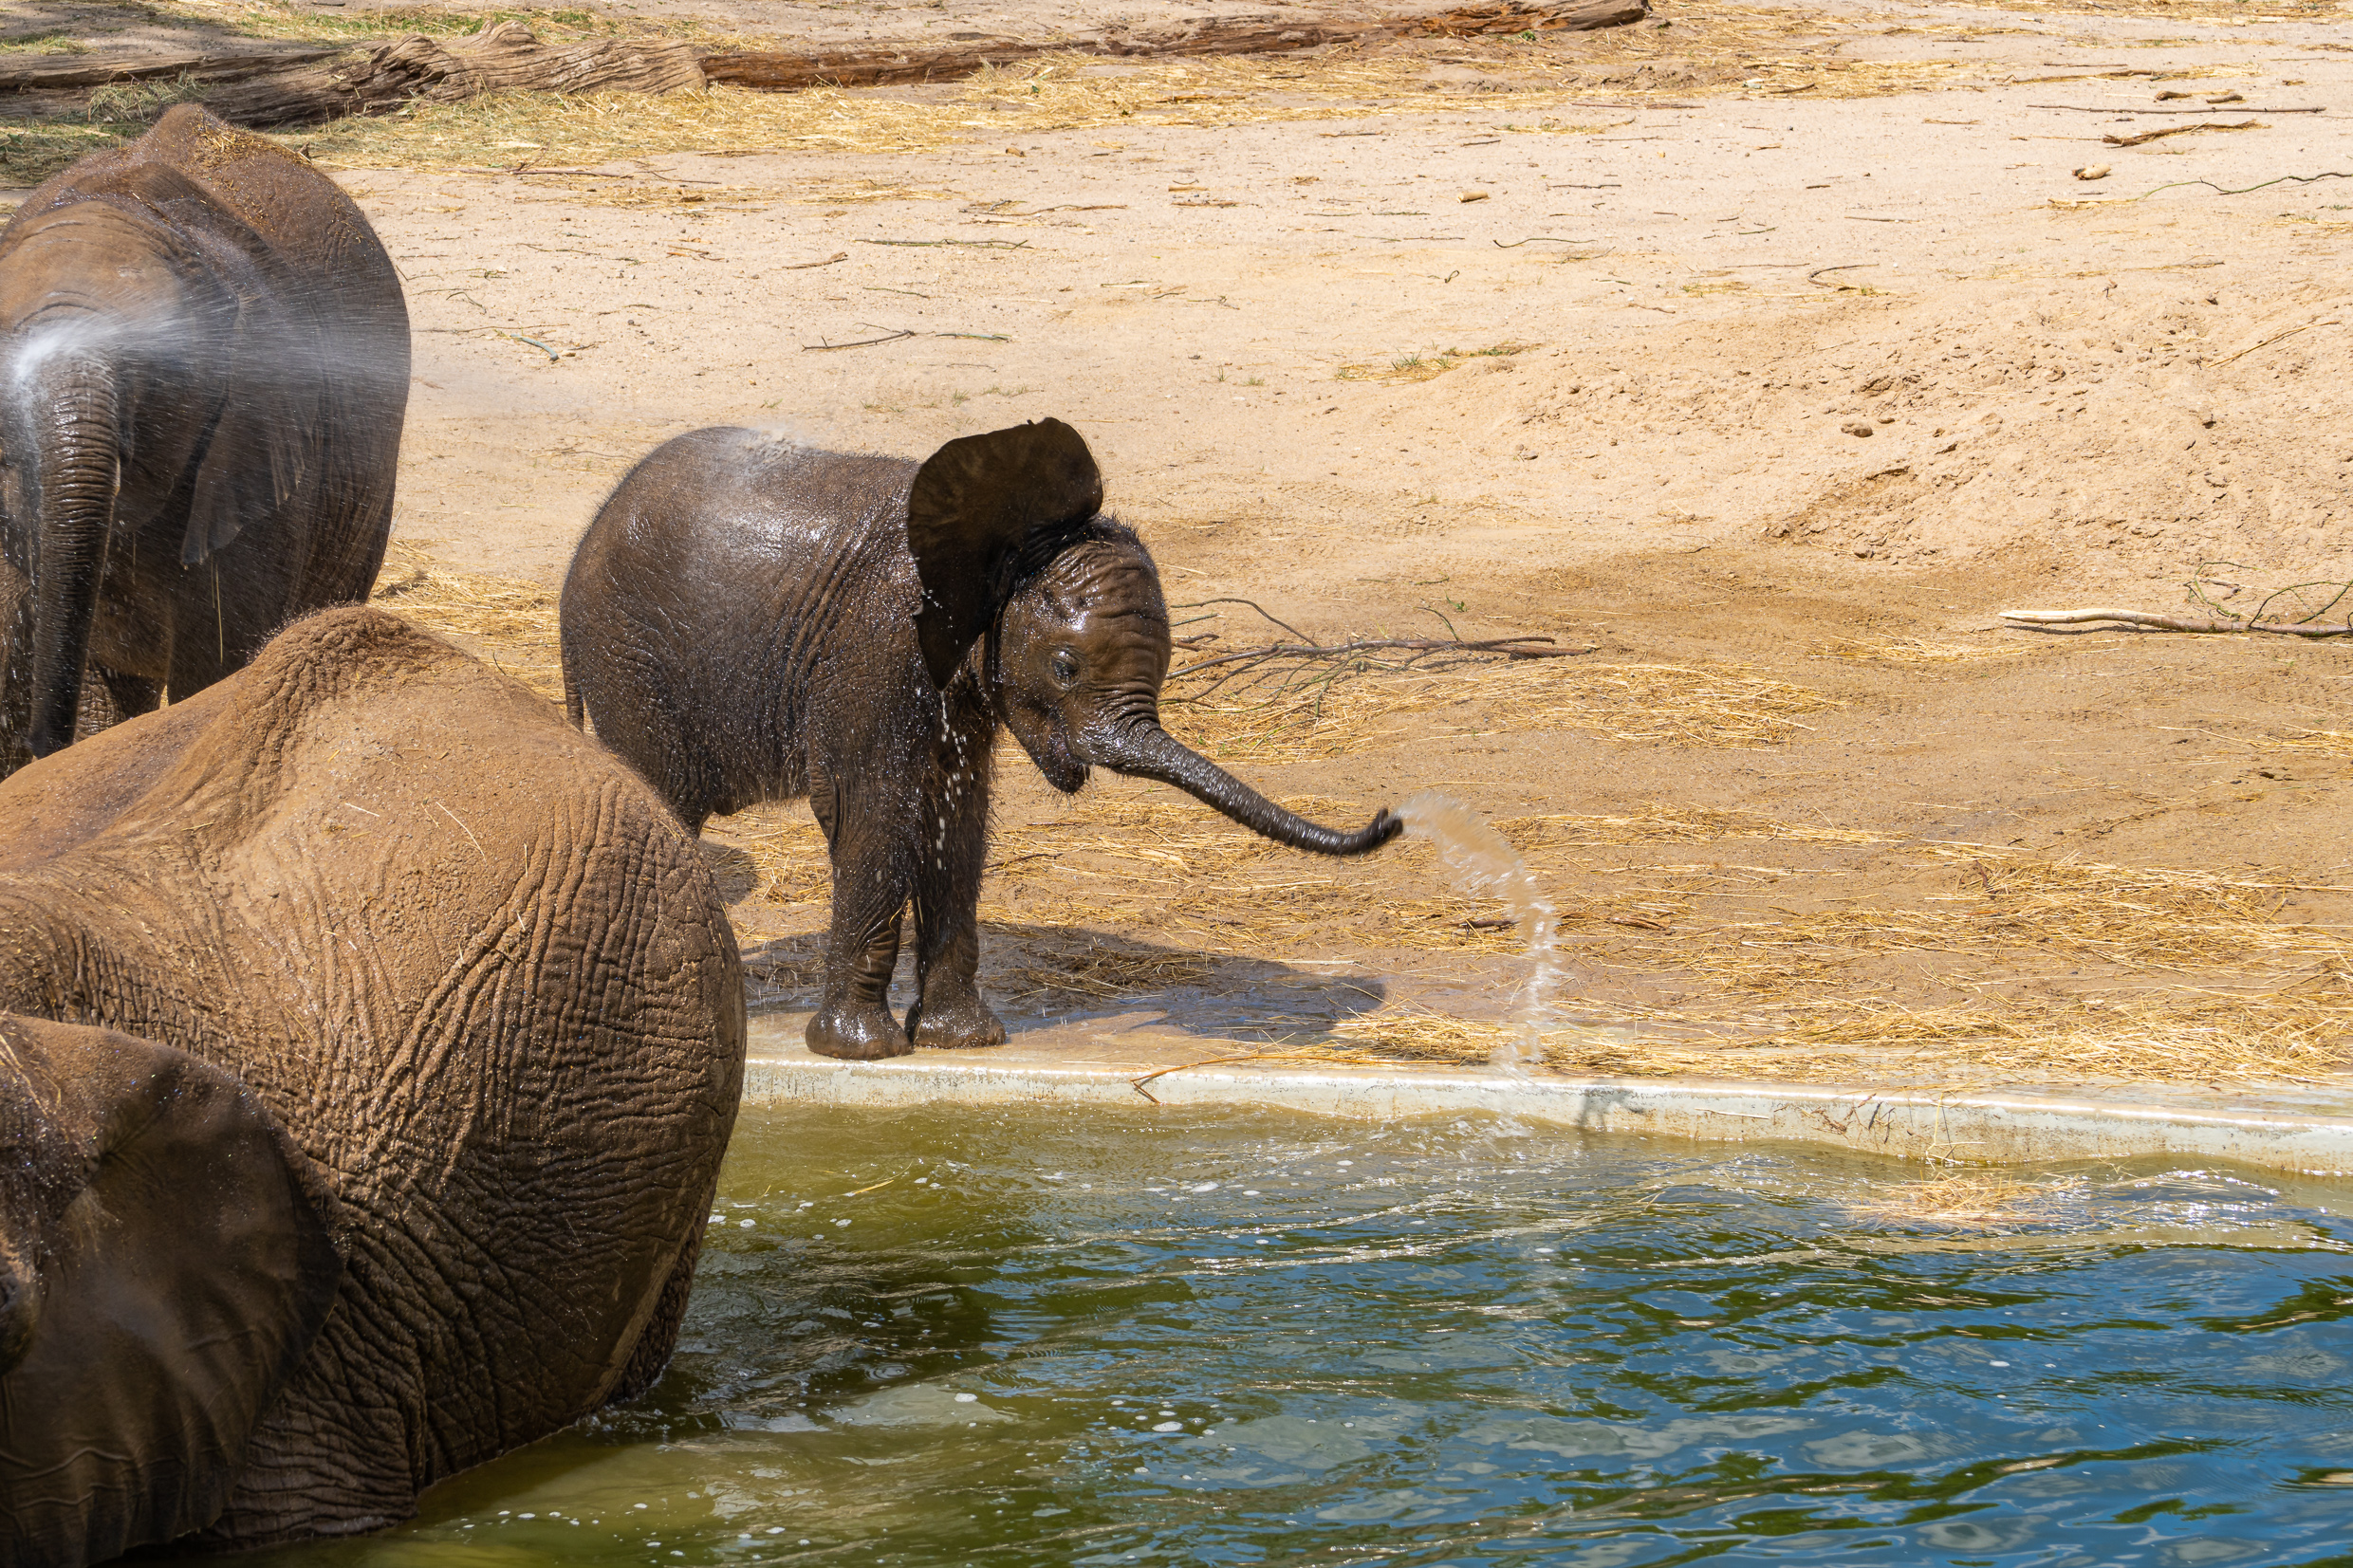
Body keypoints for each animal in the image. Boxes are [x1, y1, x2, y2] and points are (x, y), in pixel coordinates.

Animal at [558, 418, 1400, 1062]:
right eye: (1064, 667)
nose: (1391, 817)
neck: (1010, 542)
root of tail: (581, 545)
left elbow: (955, 821)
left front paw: (961, 1040)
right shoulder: (875, 649)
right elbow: (872, 811)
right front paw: (864, 1051)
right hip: (630, 659)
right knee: (661, 801)